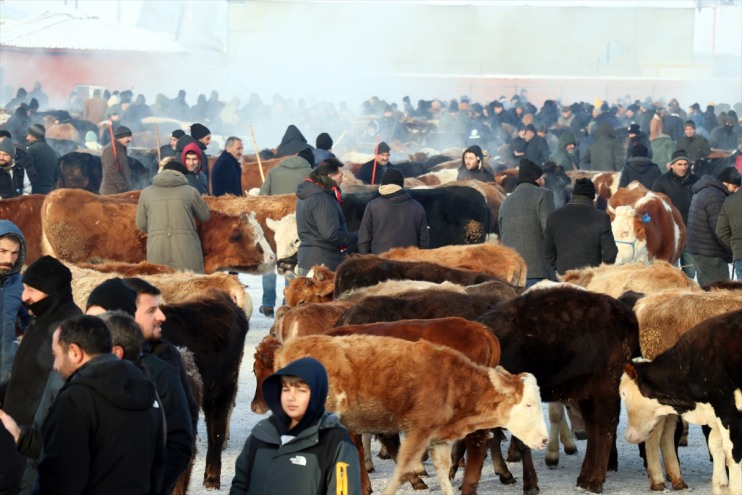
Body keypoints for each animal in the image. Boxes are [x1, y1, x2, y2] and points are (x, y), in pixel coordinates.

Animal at [258, 334, 552, 495]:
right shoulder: (417, 432)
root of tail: (286, 349)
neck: (453, 380)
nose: (544, 440)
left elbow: (443, 473)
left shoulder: (438, 439)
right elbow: (402, 469)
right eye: (528, 404)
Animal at [480, 284, 644, 494]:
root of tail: (625, 313)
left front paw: (530, 484)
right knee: (594, 428)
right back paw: (584, 478)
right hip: (587, 391)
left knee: (605, 427)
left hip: (606, 386)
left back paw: (595, 481)